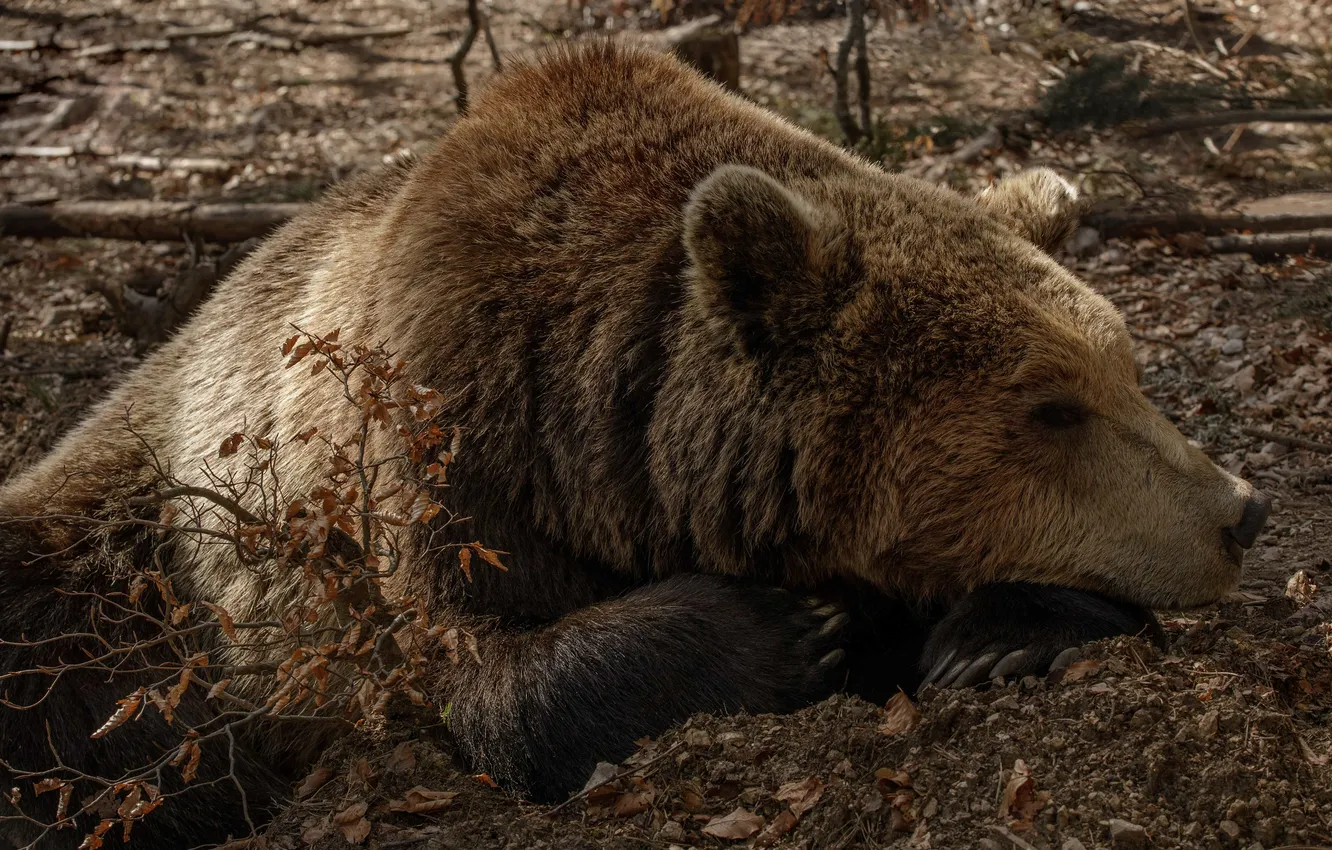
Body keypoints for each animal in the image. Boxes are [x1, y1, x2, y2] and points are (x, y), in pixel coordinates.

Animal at [0, 41, 1270, 848]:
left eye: (1126, 368)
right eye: (1051, 405)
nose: (1240, 512)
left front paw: (994, 637)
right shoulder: (437, 459)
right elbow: (482, 674)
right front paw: (781, 630)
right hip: (139, 562)